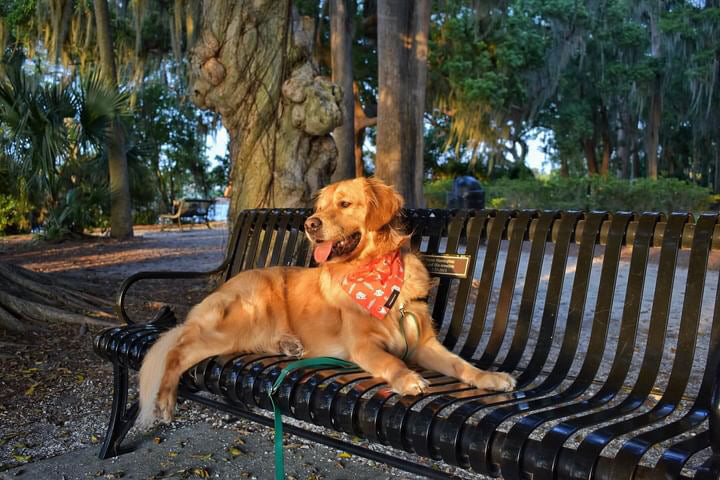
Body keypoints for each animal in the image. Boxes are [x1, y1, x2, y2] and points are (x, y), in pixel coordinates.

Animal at [138, 178, 516, 426]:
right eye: (319, 209)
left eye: (345, 204)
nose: (309, 224)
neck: (376, 275)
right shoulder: (363, 346)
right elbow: (390, 361)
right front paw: (407, 378)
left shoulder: (423, 344)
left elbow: (460, 364)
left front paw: (490, 377)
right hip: (242, 318)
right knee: (177, 350)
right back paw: (164, 399)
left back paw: (289, 345)